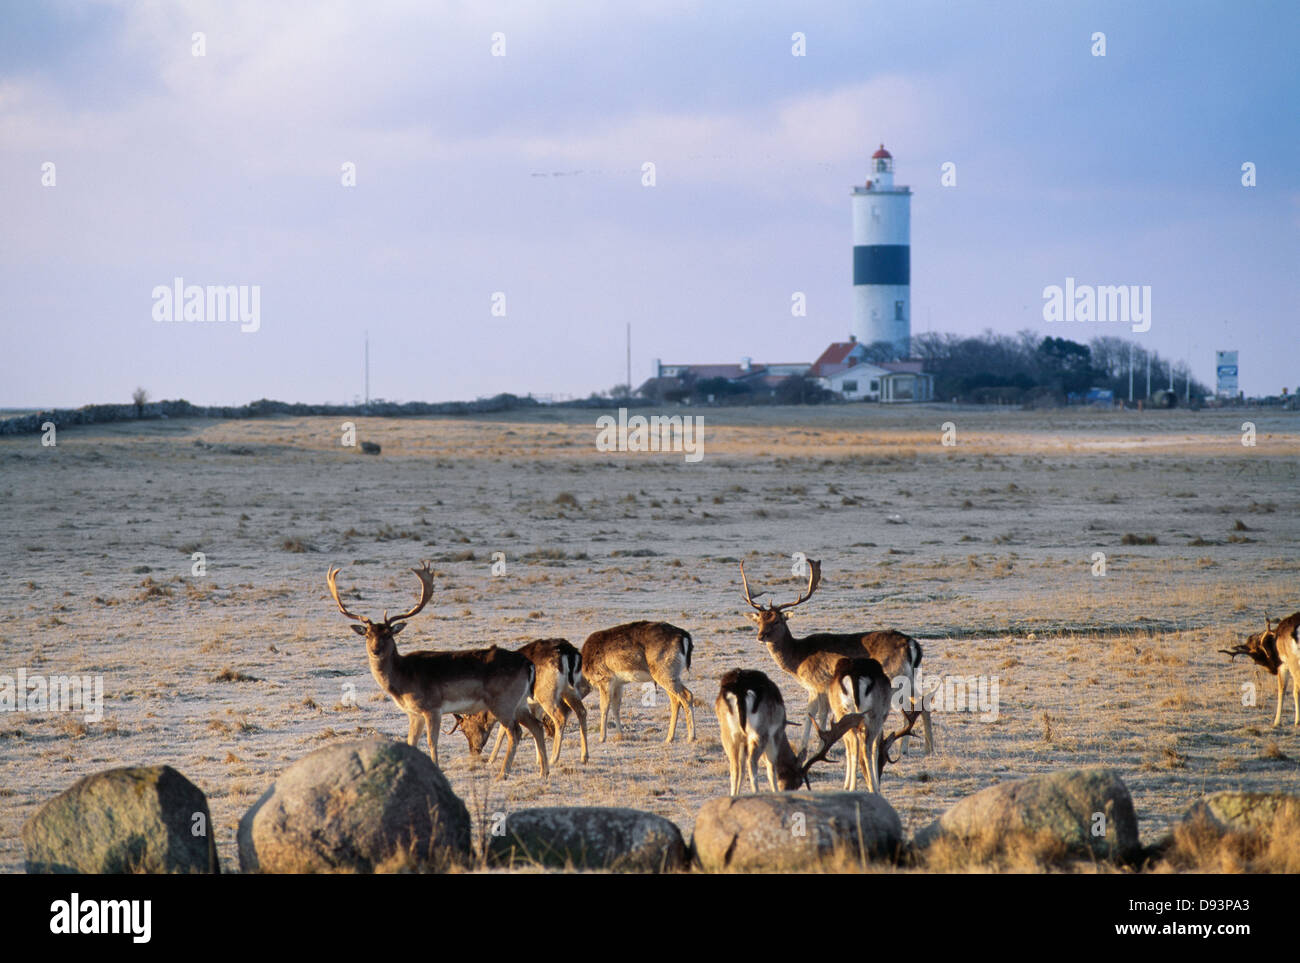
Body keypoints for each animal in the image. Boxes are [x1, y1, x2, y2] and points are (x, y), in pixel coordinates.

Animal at [330, 558, 548, 779]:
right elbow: (412, 742)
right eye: (367, 635)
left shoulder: (432, 707)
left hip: (503, 701)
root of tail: (528, 664)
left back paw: (502, 773)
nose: (375, 650)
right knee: (536, 726)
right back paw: (543, 772)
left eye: (389, 634)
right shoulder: (414, 713)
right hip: (520, 702)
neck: (402, 680)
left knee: (516, 732)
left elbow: (431, 742)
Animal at [449, 639, 587, 764]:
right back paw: (584, 756)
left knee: (560, 717)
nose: (473, 751)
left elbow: (502, 731)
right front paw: (539, 759)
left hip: (547, 694)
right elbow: (536, 724)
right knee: (581, 711)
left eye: (466, 730)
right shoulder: (533, 705)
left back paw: (554, 758)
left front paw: (491, 760)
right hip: (570, 689)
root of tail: (569, 653)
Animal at [717, 665, 868, 790]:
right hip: (760, 732)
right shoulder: (775, 733)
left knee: (735, 768)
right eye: (799, 780)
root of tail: (740, 690)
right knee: (751, 762)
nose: (787, 789)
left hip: (728, 734)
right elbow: (771, 767)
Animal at [743, 556, 935, 758]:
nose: (760, 636)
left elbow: (818, 715)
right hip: (910, 676)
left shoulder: (820, 684)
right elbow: (811, 714)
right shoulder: (815, 688)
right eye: (760, 620)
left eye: (777, 621)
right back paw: (928, 747)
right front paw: (806, 749)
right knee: (922, 701)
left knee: (911, 705)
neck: (798, 659)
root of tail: (912, 645)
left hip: (896, 675)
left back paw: (905, 748)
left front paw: (816, 749)